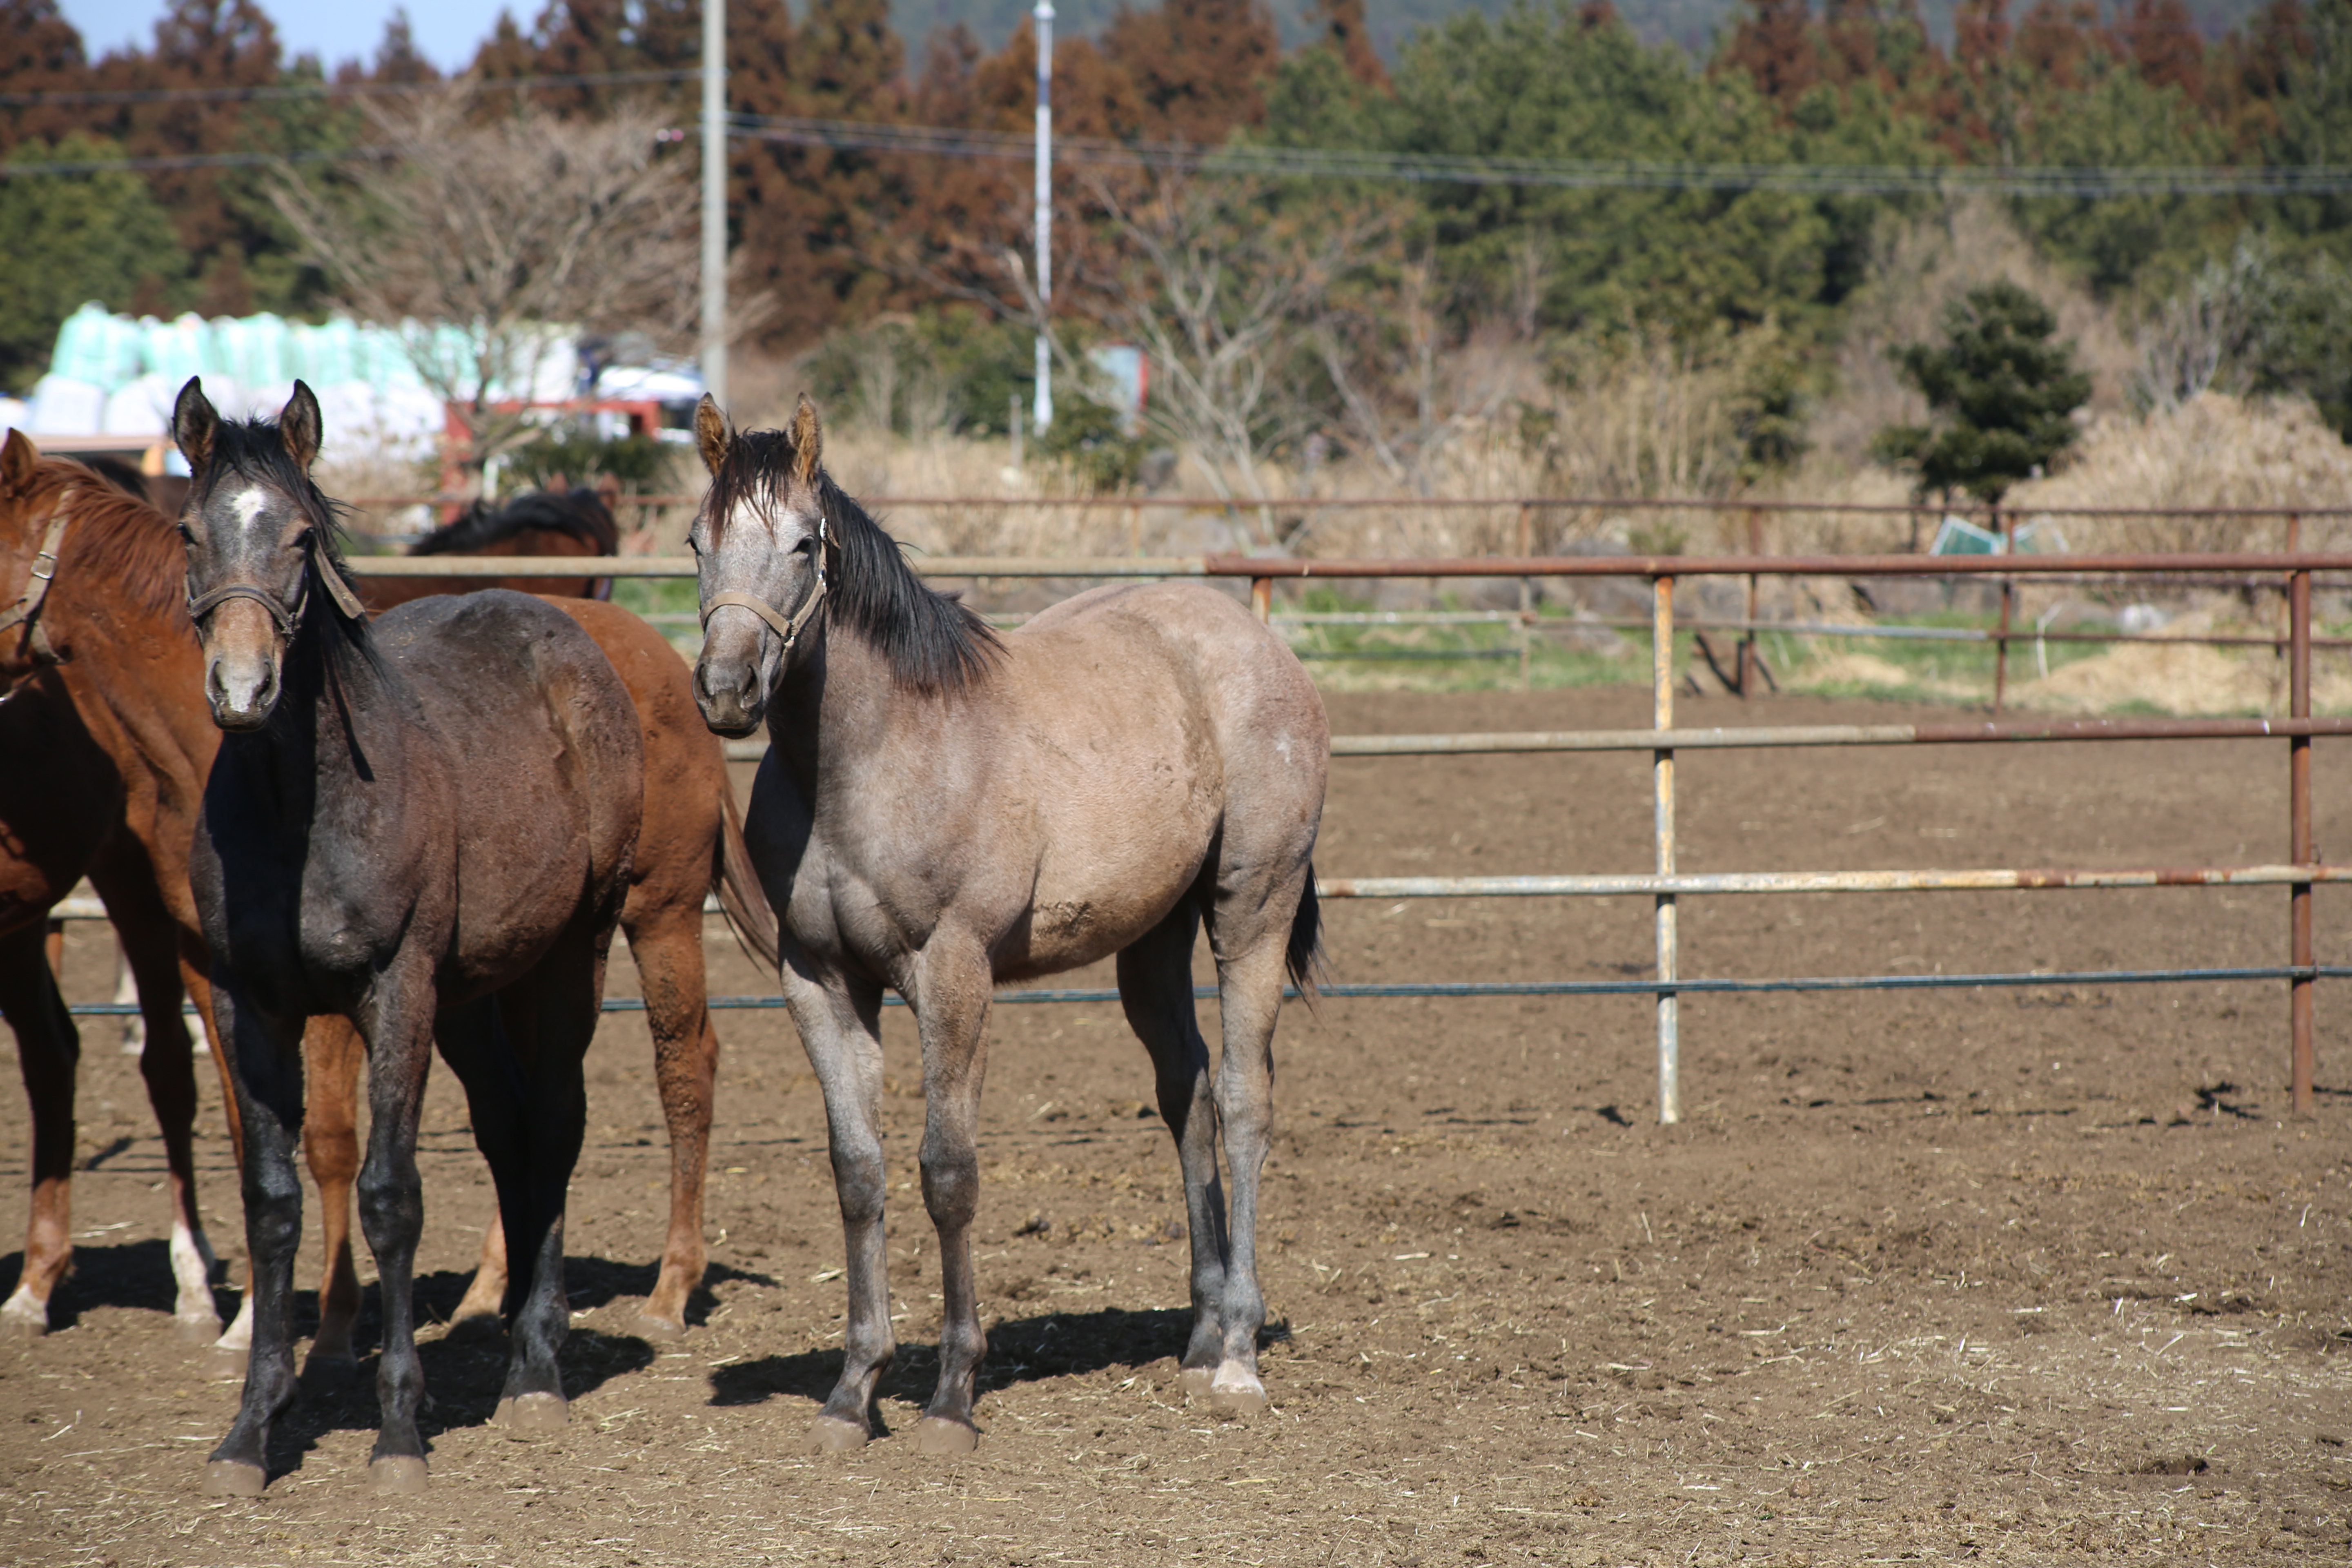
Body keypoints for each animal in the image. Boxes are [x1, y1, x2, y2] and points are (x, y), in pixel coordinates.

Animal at [172, 383, 644, 1495]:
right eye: (188, 532)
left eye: (303, 537)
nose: (243, 689)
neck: (300, 811)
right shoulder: (247, 1006)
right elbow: (272, 1202)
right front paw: (251, 1430)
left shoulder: (393, 993)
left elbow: (391, 1195)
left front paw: (396, 1429)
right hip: (471, 996)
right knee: (512, 1128)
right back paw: (508, 1331)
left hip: (569, 958)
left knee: (555, 1123)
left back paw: (536, 1370)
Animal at [686, 399, 1336, 1457]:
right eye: (697, 543)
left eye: (804, 543)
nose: (727, 689)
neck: (874, 757)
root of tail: (1259, 643)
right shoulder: (818, 979)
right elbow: (857, 1171)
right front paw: (851, 1392)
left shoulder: (952, 974)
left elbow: (946, 1171)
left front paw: (952, 1396)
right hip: (1150, 941)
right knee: (1190, 1094)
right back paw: (1200, 1335)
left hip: (1252, 912)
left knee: (1245, 1103)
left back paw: (1237, 1352)